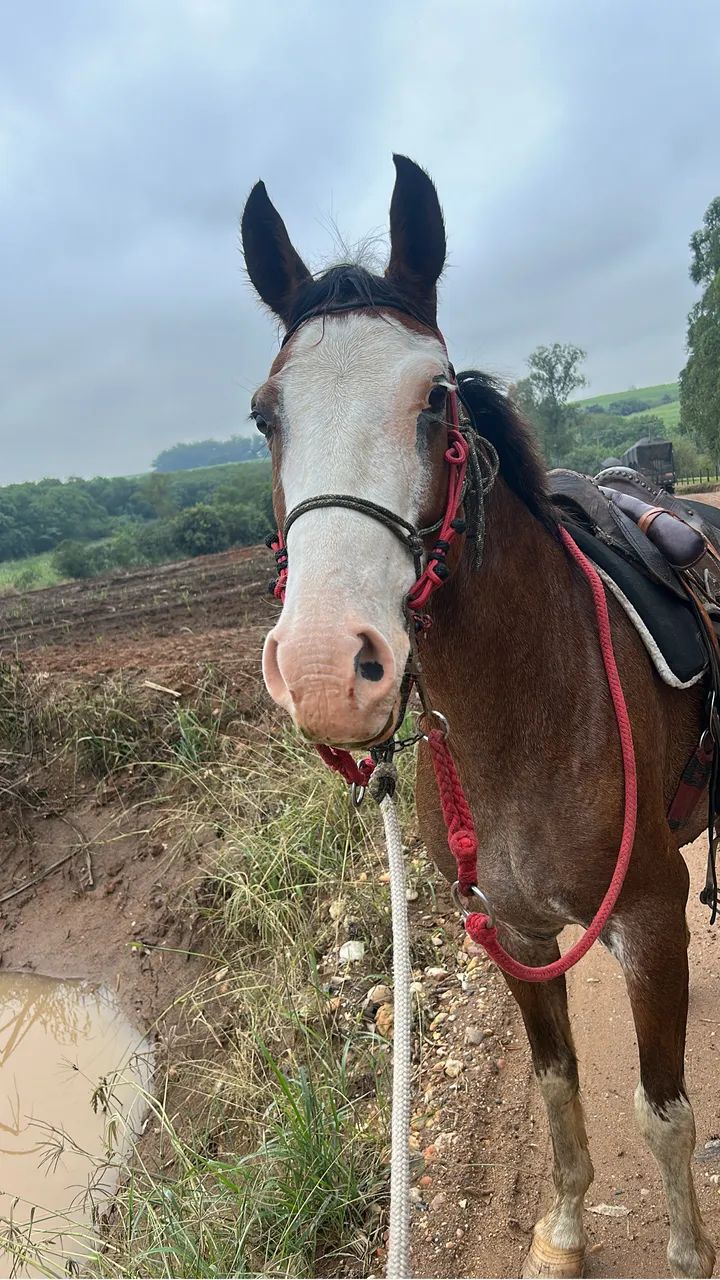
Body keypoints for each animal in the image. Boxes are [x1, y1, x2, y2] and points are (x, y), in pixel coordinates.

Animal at [240, 155, 716, 1280]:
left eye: (435, 400)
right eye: (266, 415)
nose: (326, 669)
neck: (531, 712)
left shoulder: (648, 918)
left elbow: (665, 1113)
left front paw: (686, 1249)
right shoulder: (513, 927)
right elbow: (558, 1087)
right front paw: (564, 1229)